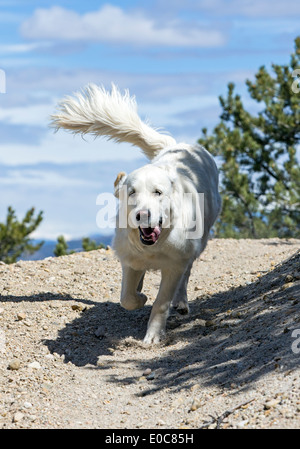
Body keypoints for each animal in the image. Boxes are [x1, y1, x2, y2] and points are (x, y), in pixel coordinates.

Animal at [51, 84, 220, 344]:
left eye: (158, 192)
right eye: (132, 192)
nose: (142, 214)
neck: (155, 245)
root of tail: (179, 145)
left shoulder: (174, 265)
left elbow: (161, 302)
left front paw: (153, 336)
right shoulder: (129, 259)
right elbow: (127, 298)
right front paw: (140, 297)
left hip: (199, 241)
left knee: (187, 272)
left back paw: (181, 302)